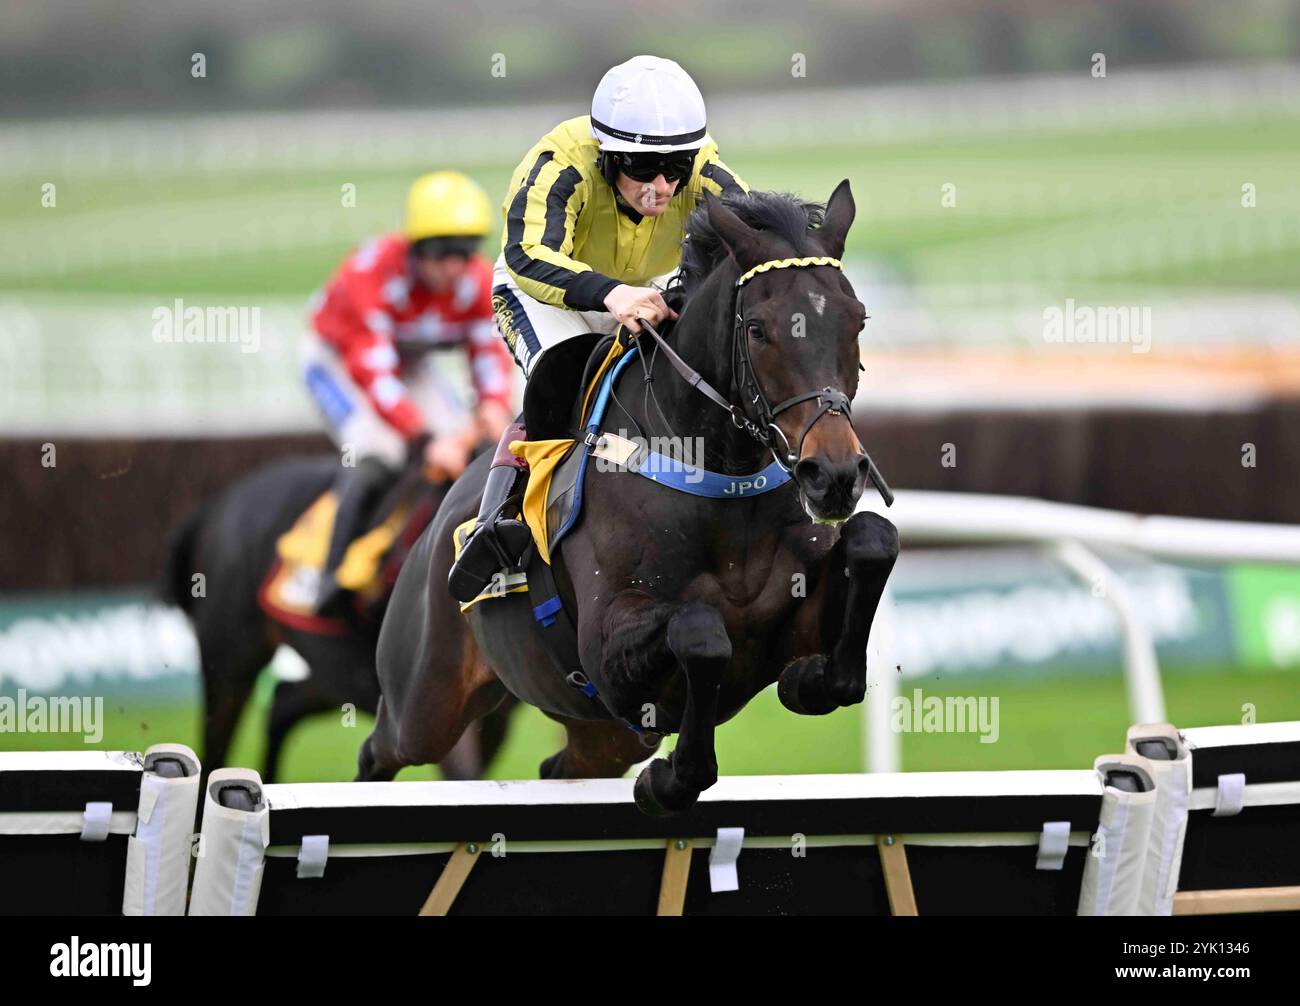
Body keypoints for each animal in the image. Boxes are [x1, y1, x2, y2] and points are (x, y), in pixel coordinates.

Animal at [167, 460, 517, 790]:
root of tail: (216, 506)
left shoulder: (491, 718)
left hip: (332, 673)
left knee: (282, 703)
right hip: (230, 666)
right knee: (216, 749)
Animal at [361, 184, 899, 821]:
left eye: (857, 320)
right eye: (758, 329)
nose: (833, 474)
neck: (723, 485)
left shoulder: (790, 625)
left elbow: (873, 541)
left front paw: (809, 679)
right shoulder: (608, 651)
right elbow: (701, 630)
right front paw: (672, 779)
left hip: (603, 734)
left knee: (558, 768)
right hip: (425, 701)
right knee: (380, 750)